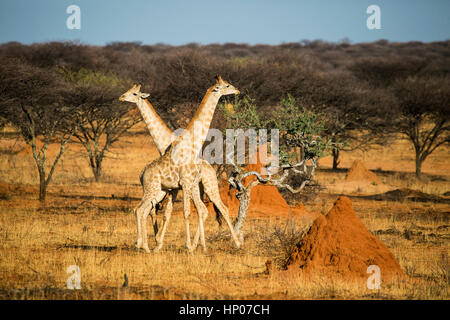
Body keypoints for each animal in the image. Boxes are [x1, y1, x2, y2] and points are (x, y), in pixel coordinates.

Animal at [118, 77, 239, 252]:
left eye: (134, 93)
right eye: (227, 85)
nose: (237, 90)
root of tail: (142, 173)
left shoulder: (181, 186)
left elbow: (176, 212)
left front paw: (164, 244)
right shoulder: (180, 185)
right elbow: (177, 213)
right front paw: (170, 245)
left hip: (205, 186)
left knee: (216, 208)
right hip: (160, 188)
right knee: (141, 209)